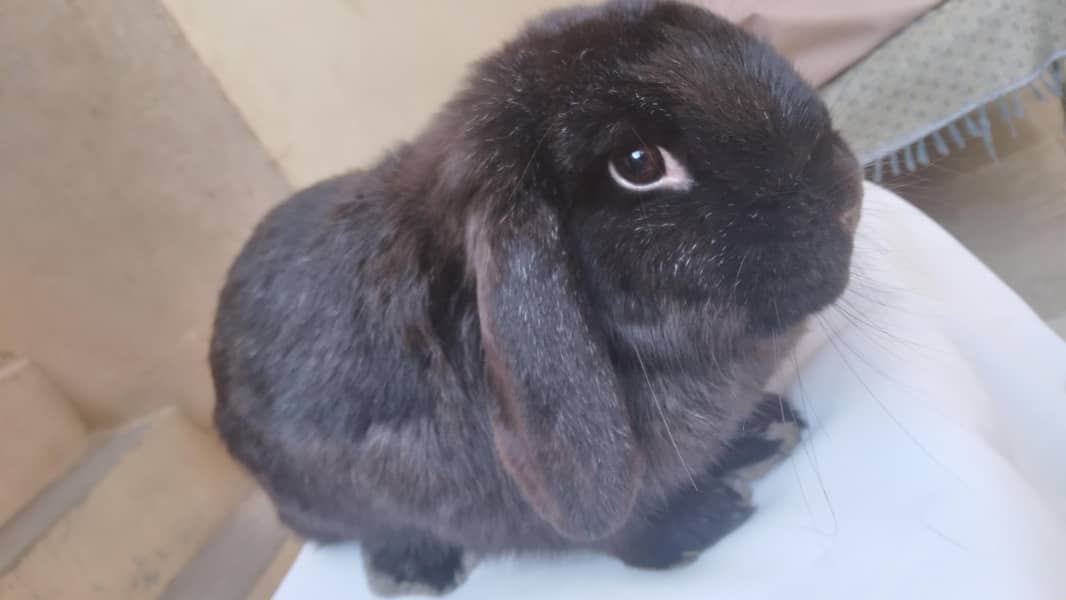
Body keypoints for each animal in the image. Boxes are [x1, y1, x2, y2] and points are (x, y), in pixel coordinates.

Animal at [210, 0, 863, 595]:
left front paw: (763, 431)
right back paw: (418, 570)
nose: (848, 192)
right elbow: (619, 531)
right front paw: (699, 524)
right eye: (638, 163)